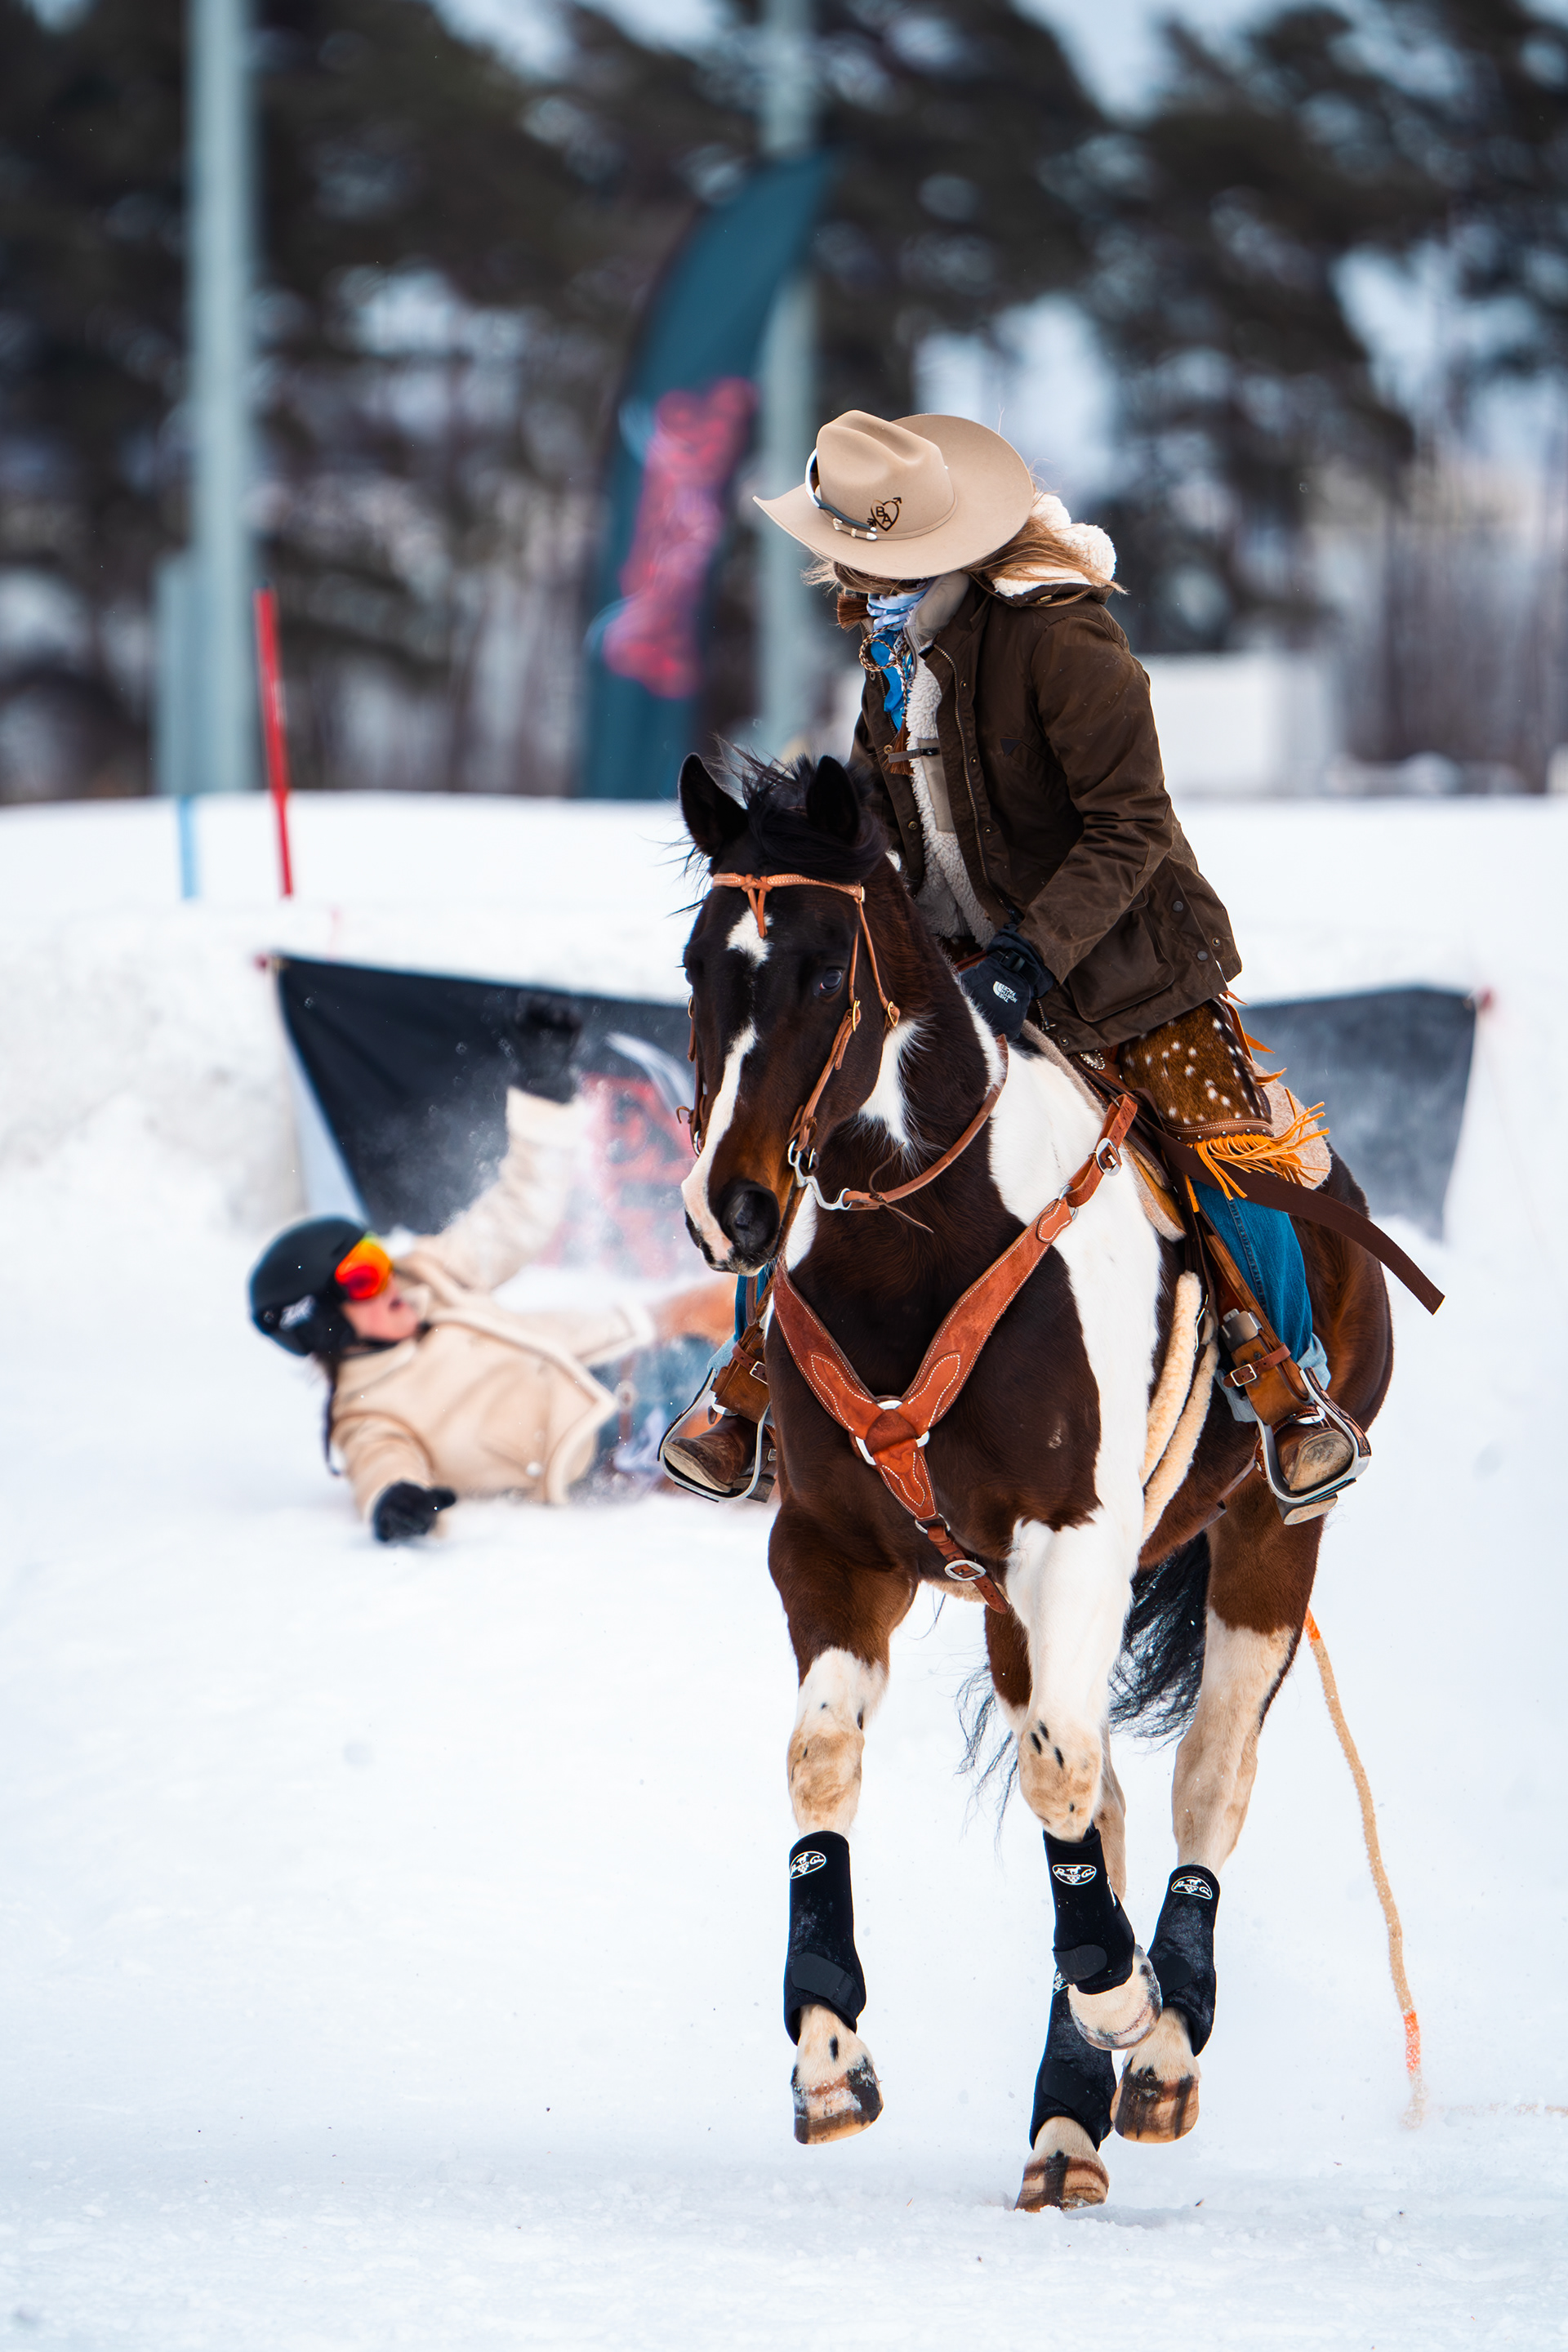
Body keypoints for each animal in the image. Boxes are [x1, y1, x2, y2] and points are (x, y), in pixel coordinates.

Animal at [675, 750, 1393, 2209]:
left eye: (824, 974)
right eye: (696, 968)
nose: (731, 1209)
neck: (923, 1248)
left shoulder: (1075, 1539)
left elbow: (1068, 1777)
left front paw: (1125, 2001)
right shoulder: (831, 1549)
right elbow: (826, 1759)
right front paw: (828, 2052)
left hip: (1267, 1541)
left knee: (1200, 1780)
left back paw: (1159, 2045)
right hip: (1013, 1601)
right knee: (1105, 1792)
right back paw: (1068, 2122)